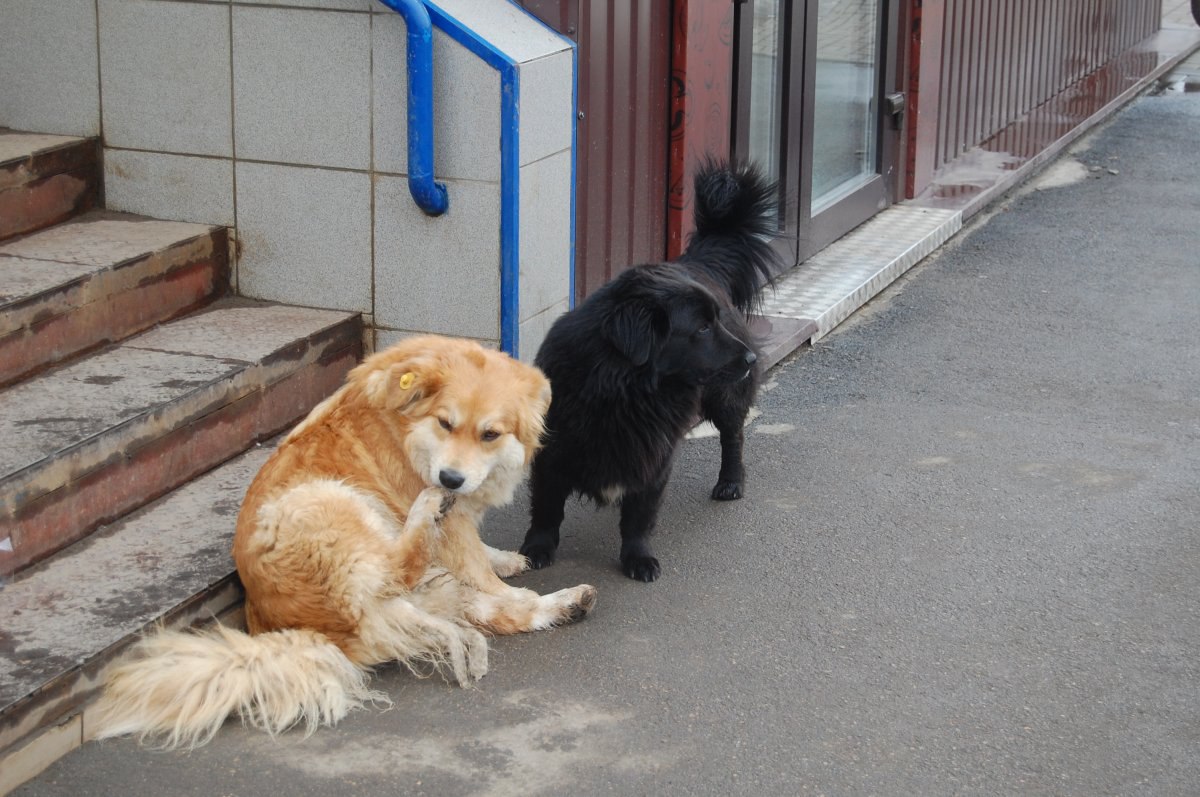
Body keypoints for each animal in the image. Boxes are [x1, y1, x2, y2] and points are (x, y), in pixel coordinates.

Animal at [91, 333, 597, 748]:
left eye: (490, 434)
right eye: (445, 424)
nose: (449, 479)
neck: (408, 425)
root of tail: (303, 630)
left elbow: (479, 555)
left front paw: (503, 558)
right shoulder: (451, 521)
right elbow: (472, 559)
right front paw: (497, 570)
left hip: (414, 592)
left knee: (490, 614)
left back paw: (566, 604)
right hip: (328, 503)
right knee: (410, 570)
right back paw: (432, 520)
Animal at [520, 160, 782, 578]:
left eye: (715, 321)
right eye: (702, 328)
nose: (752, 360)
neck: (622, 389)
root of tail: (692, 262)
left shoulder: (654, 456)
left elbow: (639, 516)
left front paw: (638, 557)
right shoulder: (553, 451)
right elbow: (546, 506)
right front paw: (538, 547)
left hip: (726, 398)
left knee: (733, 438)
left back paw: (731, 482)